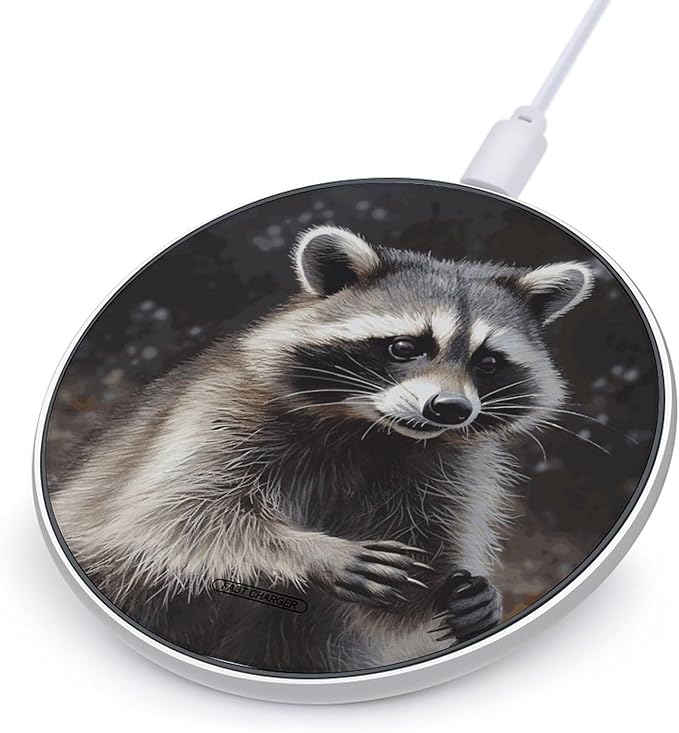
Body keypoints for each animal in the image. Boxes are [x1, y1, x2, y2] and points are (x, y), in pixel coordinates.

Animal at [51, 225, 594, 674]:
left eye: (488, 363)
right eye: (404, 347)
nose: (450, 409)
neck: (371, 429)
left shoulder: (447, 466)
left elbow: (413, 584)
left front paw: (470, 592)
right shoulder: (222, 412)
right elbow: (174, 516)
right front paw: (316, 552)